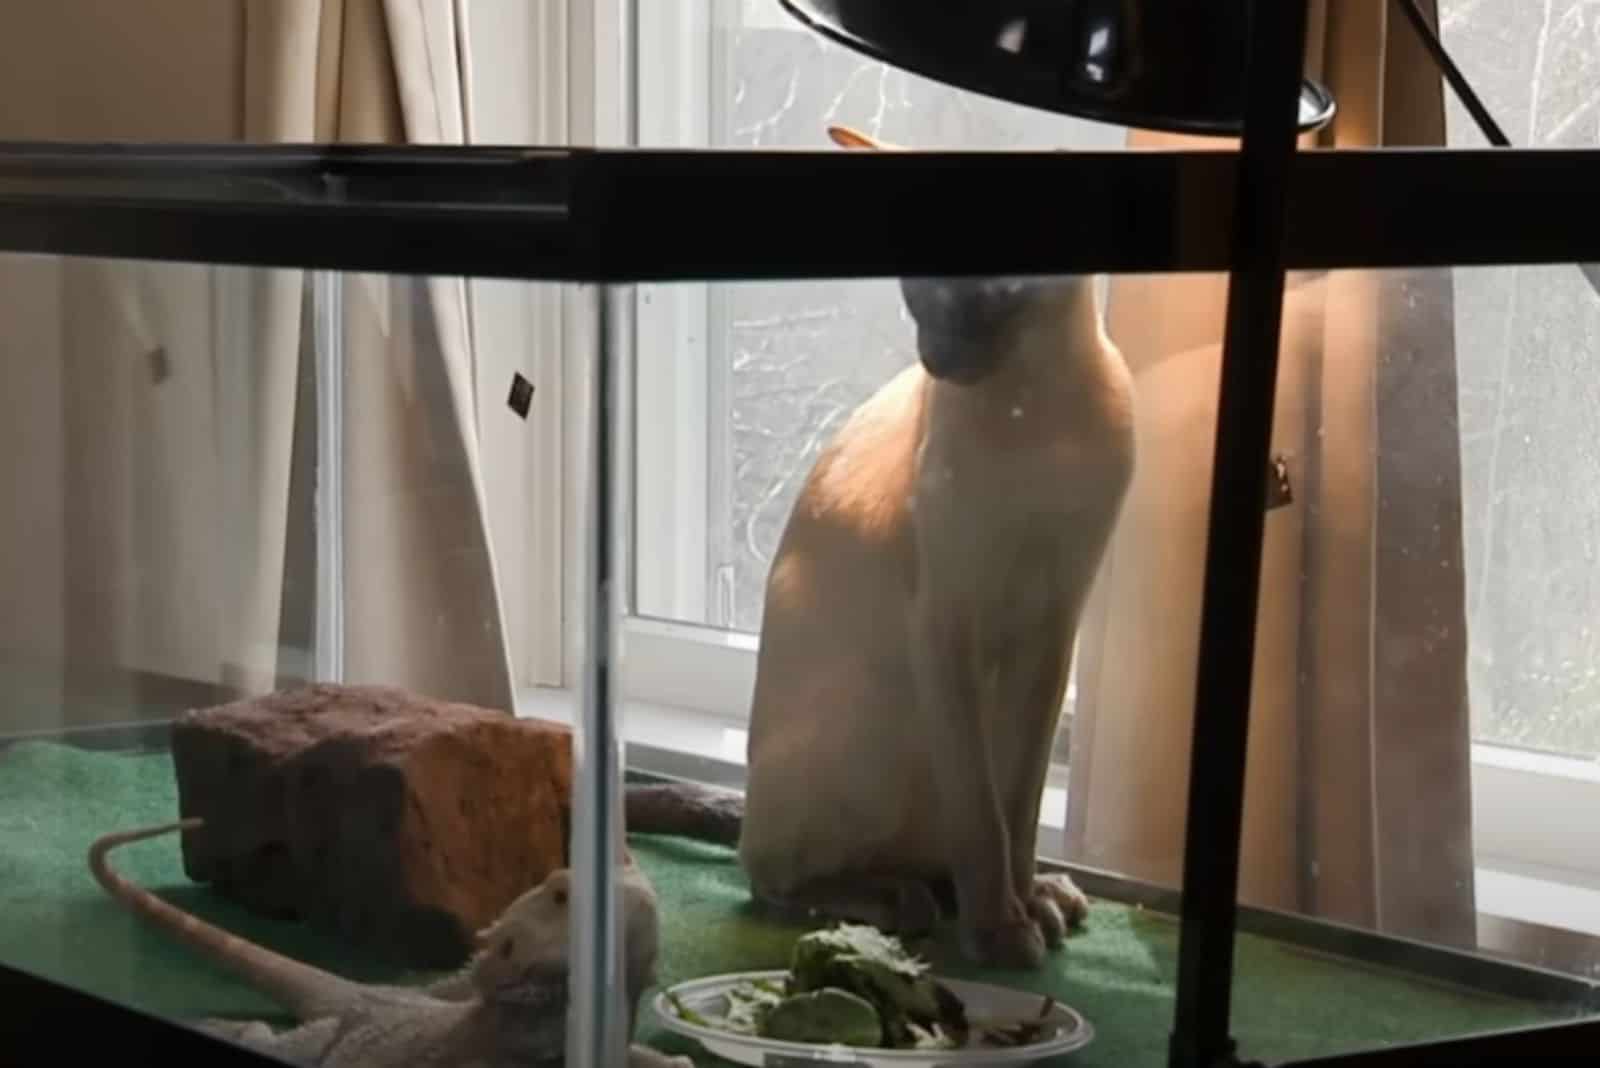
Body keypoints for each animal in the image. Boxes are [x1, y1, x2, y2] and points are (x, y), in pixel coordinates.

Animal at [624, 125, 1139, 965]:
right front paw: (1002, 932)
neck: (1037, 410)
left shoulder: (1053, 629)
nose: (938, 356)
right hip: (875, 731)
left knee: (935, 849)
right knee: (773, 873)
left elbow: (1020, 808)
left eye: (992, 293)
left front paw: (1021, 904)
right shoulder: (948, 624)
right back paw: (908, 903)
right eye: (917, 291)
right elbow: (984, 816)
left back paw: (1025, 895)